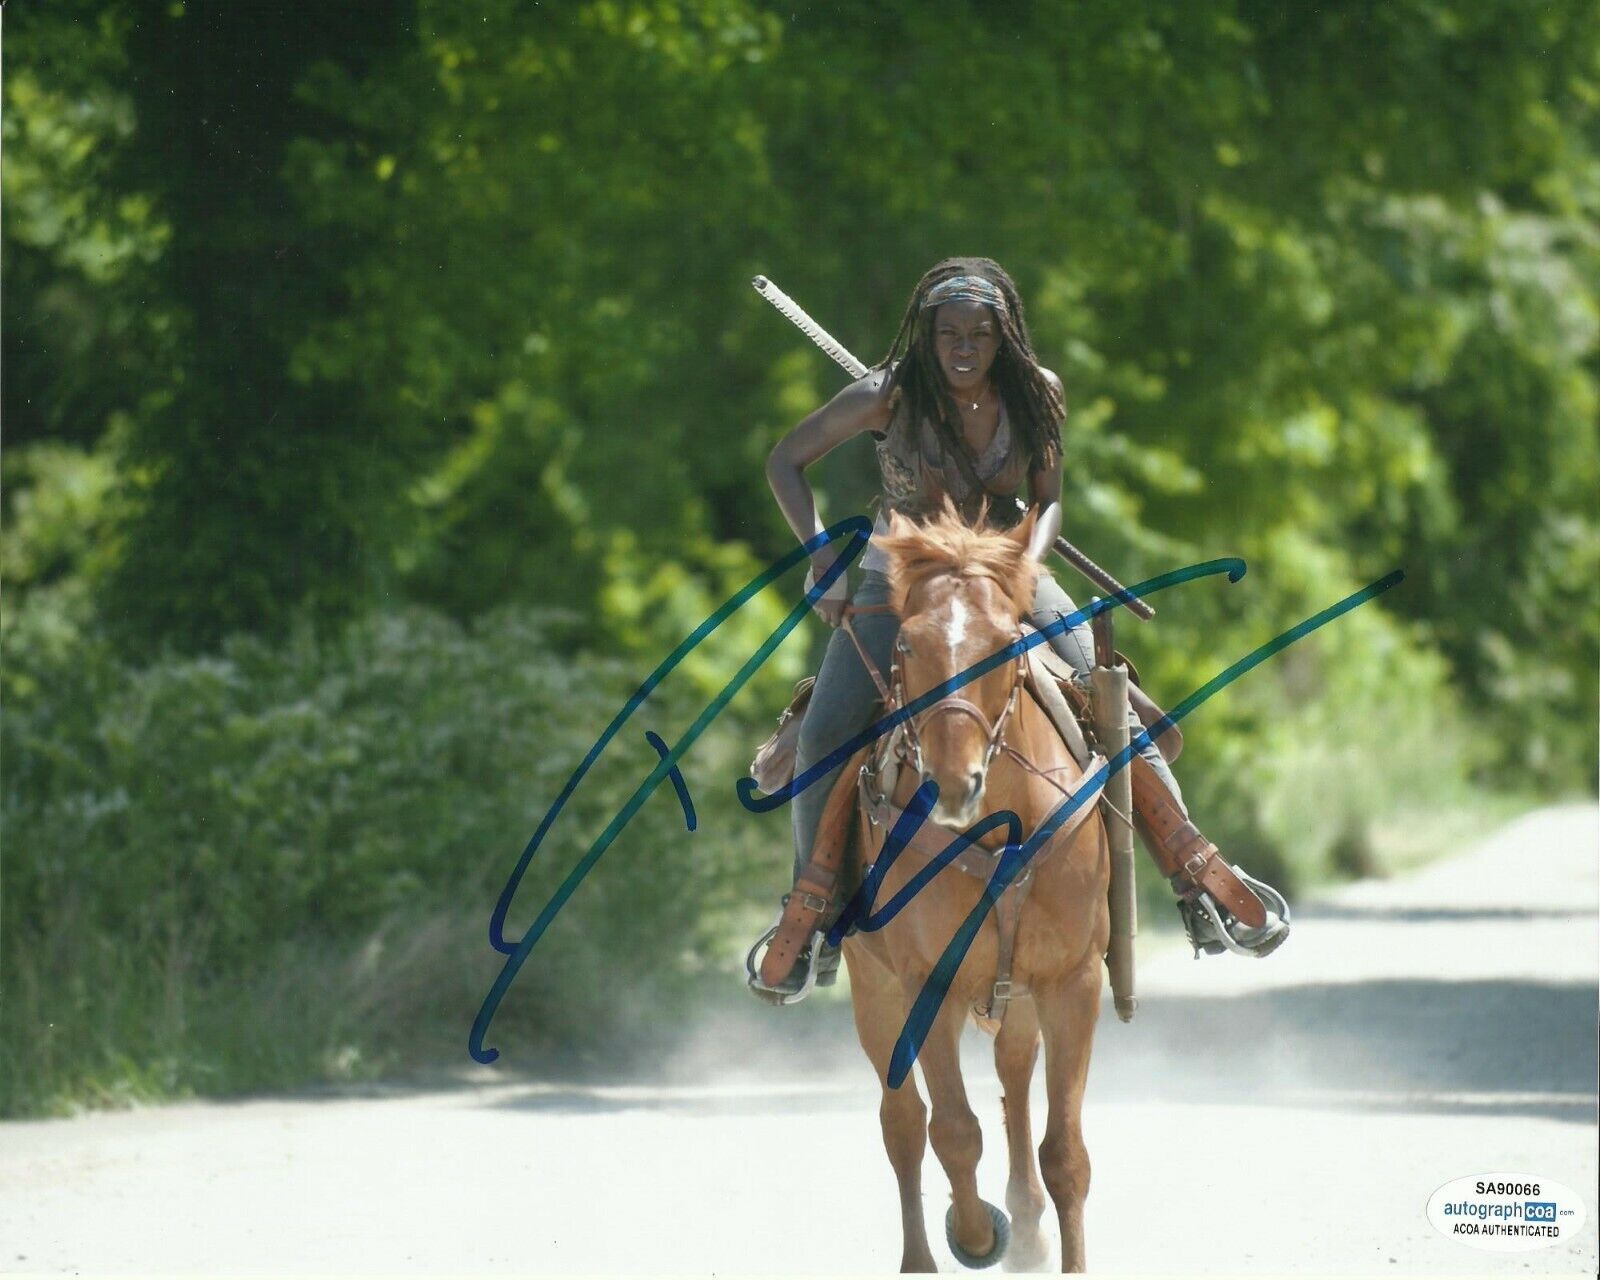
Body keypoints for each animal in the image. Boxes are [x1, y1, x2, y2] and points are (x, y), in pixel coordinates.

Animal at [838, 505, 1113, 1273]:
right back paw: (928, 1256)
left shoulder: (1073, 983)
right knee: (904, 1122)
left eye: (1004, 641)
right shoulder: (925, 982)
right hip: (875, 989)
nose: (953, 781)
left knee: (1013, 1077)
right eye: (906, 643)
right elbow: (954, 1132)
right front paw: (975, 1234)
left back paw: (1028, 1227)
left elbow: (1066, 1153)